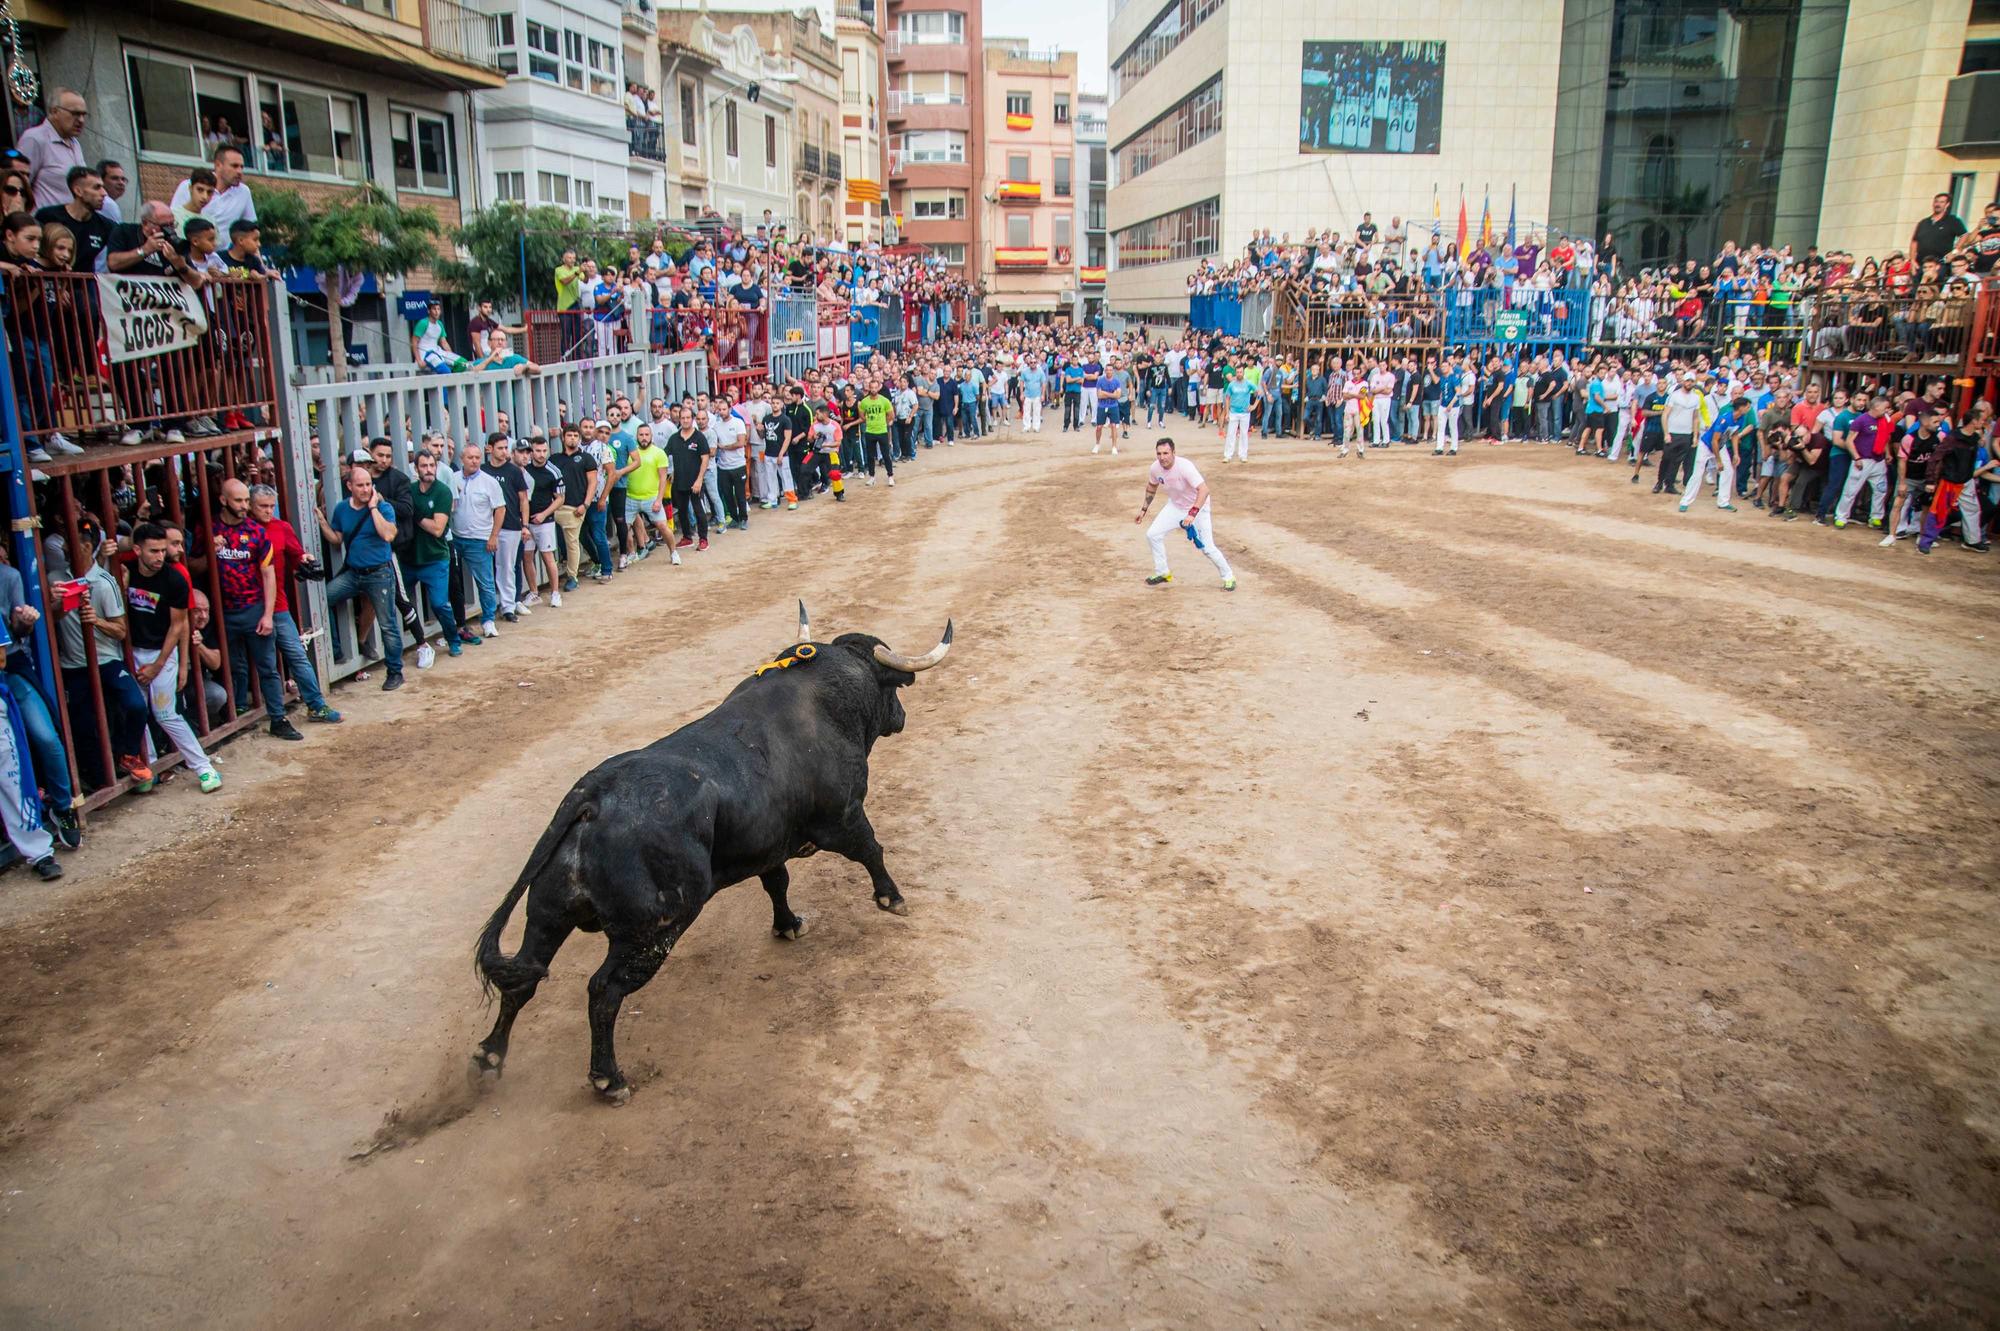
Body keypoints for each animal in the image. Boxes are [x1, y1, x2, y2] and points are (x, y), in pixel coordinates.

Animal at [480, 603, 956, 1095]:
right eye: (890, 686)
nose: (901, 716)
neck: (831, 699)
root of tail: (592, 797)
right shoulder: (843, 818)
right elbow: (871, 851)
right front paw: (892, 899)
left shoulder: (769, 843)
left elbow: (777, 882)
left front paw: (788, 925)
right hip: (652, 932)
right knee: (604, 991)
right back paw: (609, 1078)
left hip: (548, 913)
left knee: (525, 975)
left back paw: (491, 1055)